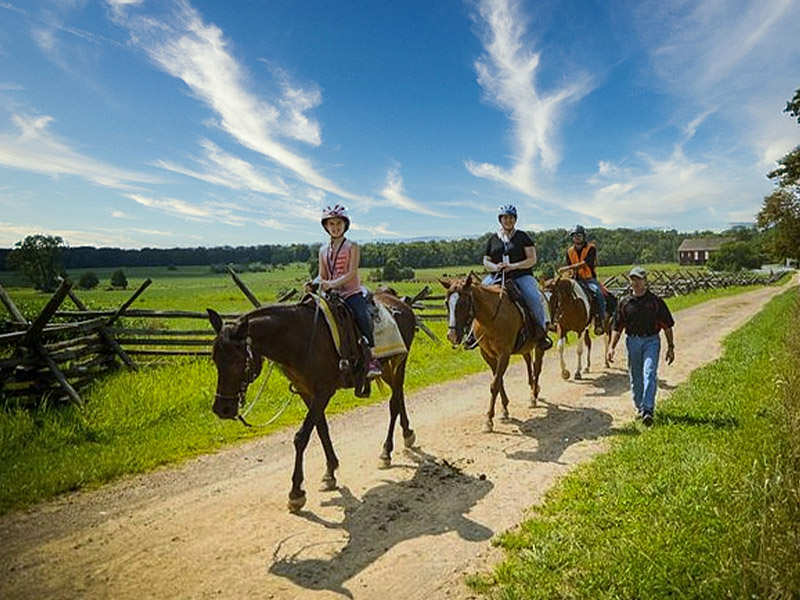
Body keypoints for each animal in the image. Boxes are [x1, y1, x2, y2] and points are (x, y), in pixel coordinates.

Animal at [206, 290, 418, 510]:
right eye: (215, 358)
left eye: (238, 360)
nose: (222, 408)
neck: (300, 337)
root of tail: (401, 303)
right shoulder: (306, 392)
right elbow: (321, 429)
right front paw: (330, 473)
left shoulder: (324, 391)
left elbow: (301, 437)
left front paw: (296, 492)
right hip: (389, 368)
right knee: (399, 396)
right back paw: (407, 433)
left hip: (398, 364)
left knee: (394, 403)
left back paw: (386, 451)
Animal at [440, 274, 548, 434]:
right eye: (447, 303)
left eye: (462, 304)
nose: (452, 335)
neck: (491, 319)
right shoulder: (488, 355)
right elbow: (499, 380)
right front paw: (504, 409)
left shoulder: (504, 354)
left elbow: (495, 384)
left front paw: (489, 420)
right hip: (525, 347)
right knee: (529, 362)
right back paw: (532, 387)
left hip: (539, 345)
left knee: (537, 367)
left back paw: (534, 395)